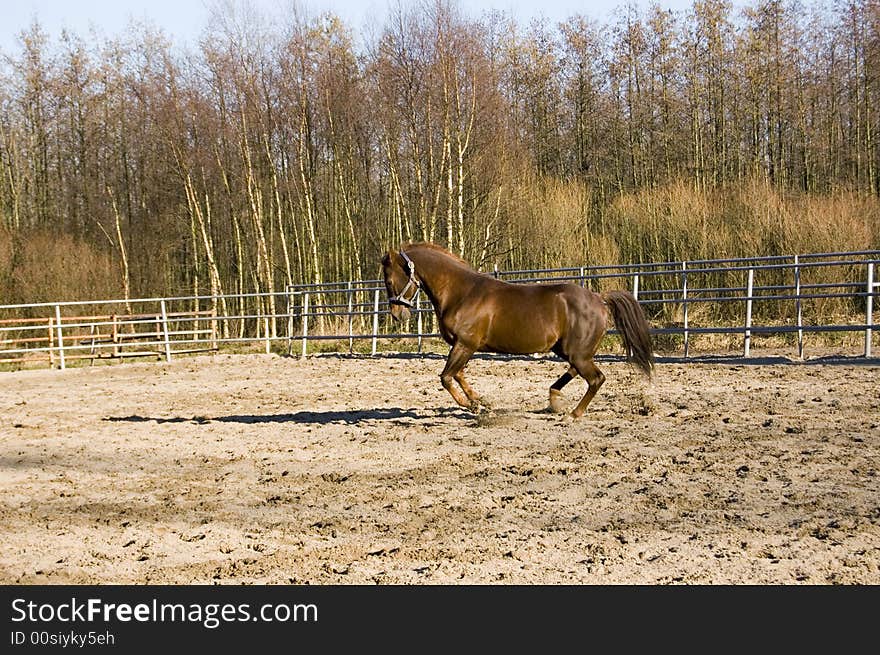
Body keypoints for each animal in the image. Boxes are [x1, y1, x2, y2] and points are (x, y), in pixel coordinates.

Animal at [378, 242, 652, 420]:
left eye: (389, 280)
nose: (397, 314)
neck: (461, 292)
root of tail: (599, 299)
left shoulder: (465, 344)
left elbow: (446, 377)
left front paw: (472, 407)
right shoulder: (463, 346)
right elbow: (459, 375)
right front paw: (480, 401)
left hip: (577, 353)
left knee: (596, 378)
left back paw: (573, 414)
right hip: (568, 350)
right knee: (576, 372)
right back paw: (554, 399)